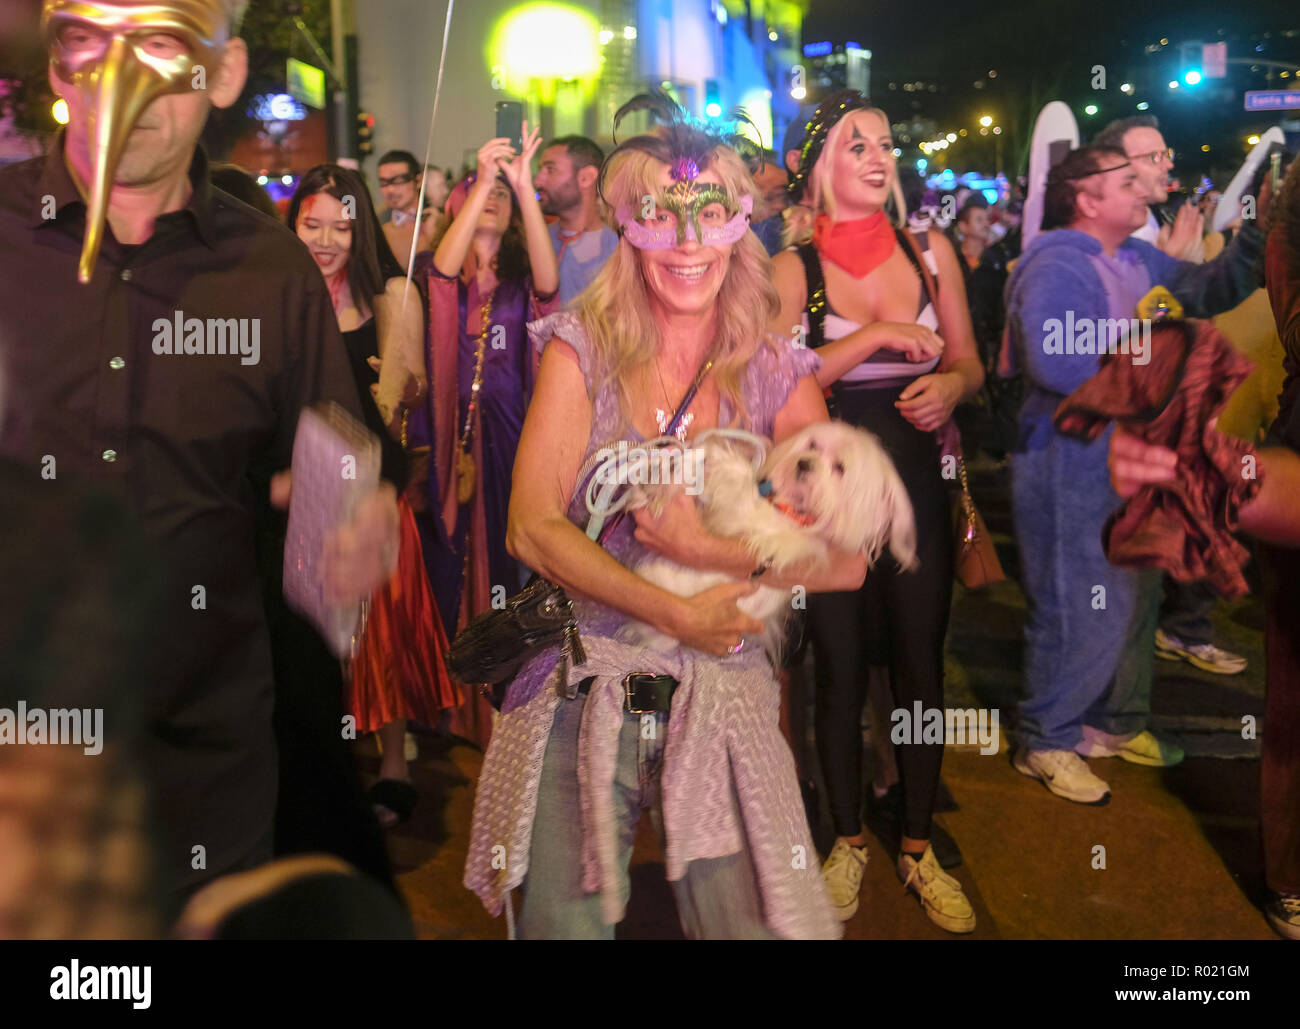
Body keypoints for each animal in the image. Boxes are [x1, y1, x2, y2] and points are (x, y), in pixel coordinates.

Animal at [624, 420, 920, 654]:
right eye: (813, 445)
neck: (789, 511)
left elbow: (732, 480)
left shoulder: (750, 522)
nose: (804, 463)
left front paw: (712, 456)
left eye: (839, 467)